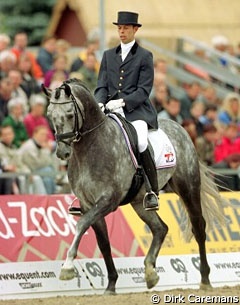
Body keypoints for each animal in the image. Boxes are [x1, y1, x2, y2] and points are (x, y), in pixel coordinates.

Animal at [43, 79, 229, 294]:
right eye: (49, 114)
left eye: (70, 114)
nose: (62, 152)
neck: (90, 148)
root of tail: (180, 128)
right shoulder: (87, 204)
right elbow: (103, 242)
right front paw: (111, 284)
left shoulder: (109, 200)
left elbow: (81, 224)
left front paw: (67, 267)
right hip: (140, 202)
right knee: (160, 228)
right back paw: (150, 272)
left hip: (188, 188)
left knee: (198, 227)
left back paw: (205, 280)